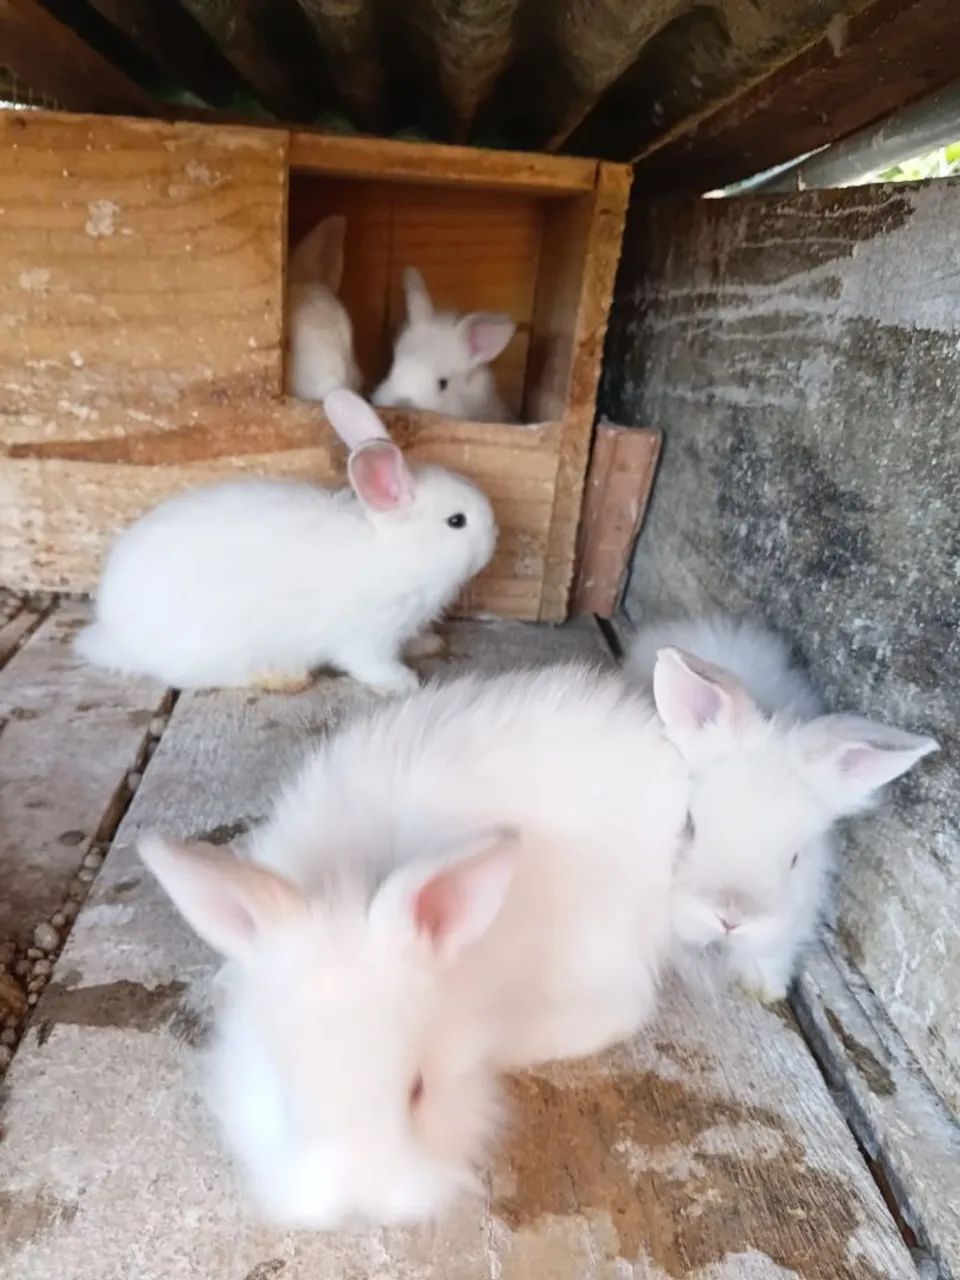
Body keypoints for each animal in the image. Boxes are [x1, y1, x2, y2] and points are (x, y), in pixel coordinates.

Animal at [75, 390, 496, 695]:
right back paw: (284, 677)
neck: (398, 552)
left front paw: (428, 643)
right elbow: (370, 664)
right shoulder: (366, 636)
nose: (495, 538)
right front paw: (403, 682)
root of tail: (112, 632)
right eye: (456, 522)